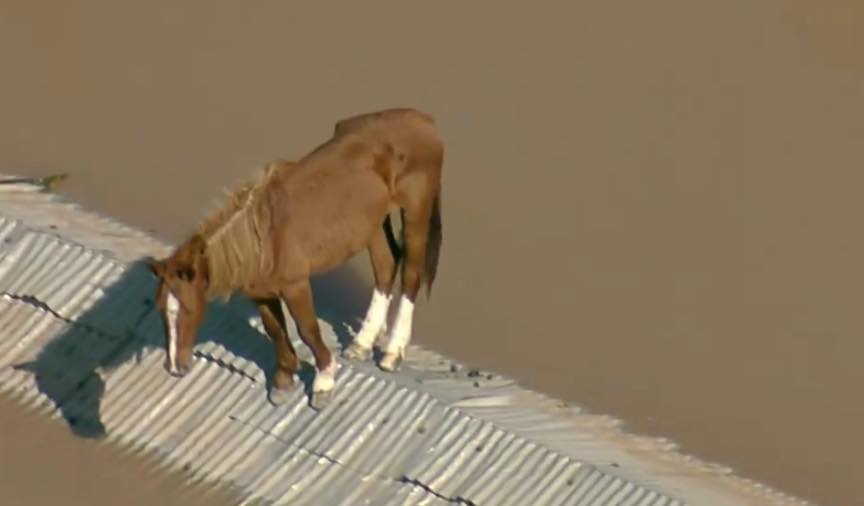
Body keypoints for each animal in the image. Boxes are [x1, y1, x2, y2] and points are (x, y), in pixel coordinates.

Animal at [147, 108, 443, 409]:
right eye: (159, 308)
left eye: (188, 309)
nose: (174, 367)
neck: (263, 239)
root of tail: (422, 119)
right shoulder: (260, 293)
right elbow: (275, 330)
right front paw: (283, 380)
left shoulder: (295, 285)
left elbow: (307, 330)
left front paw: (324, 382)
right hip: (373, 222)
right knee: (386, 266)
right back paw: (362, 344)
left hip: (415, 210)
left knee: (411, 274)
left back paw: (392, 353)